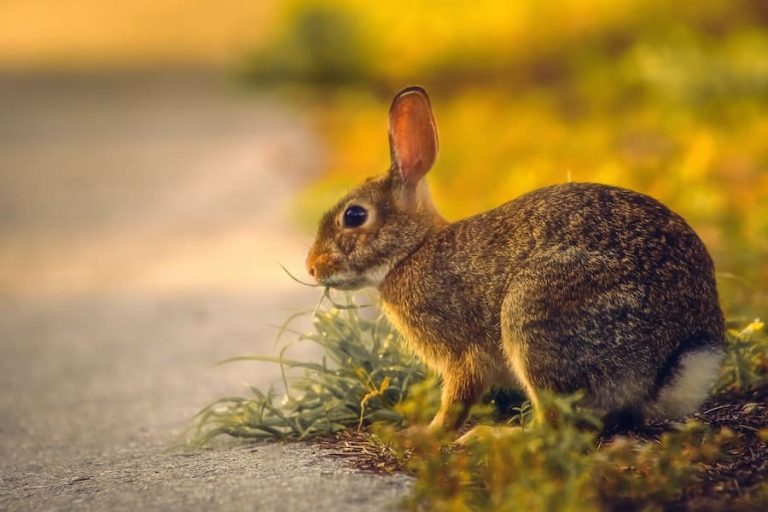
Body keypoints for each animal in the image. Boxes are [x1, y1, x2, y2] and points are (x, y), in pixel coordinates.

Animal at [306, 85, 725, 432]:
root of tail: (675, 354)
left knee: (553, 425)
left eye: (354, 216)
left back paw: (489, 438)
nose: (312, 267)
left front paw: (428, 434)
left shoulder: (463, 354)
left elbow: (457, 399)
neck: (413, 250)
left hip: (534, 316)